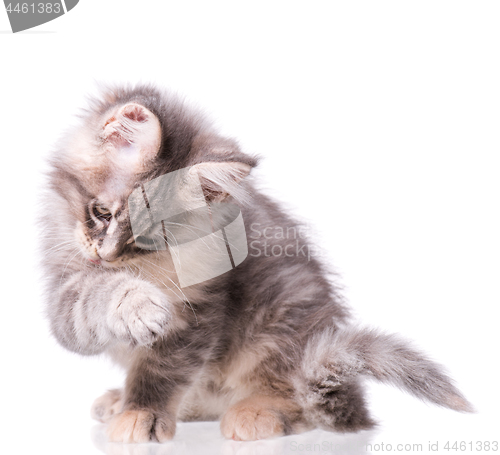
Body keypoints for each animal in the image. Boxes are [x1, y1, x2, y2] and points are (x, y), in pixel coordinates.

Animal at [40, 83, 472, 444]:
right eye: (102, 213)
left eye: (149, 239)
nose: (107, 256)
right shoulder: (64, 290)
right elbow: (95, 299)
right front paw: (138, 306)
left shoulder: (200, 310)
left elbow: (163, 369)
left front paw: (142, 412)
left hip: (280, 320)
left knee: (300, 398)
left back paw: (256, 412)